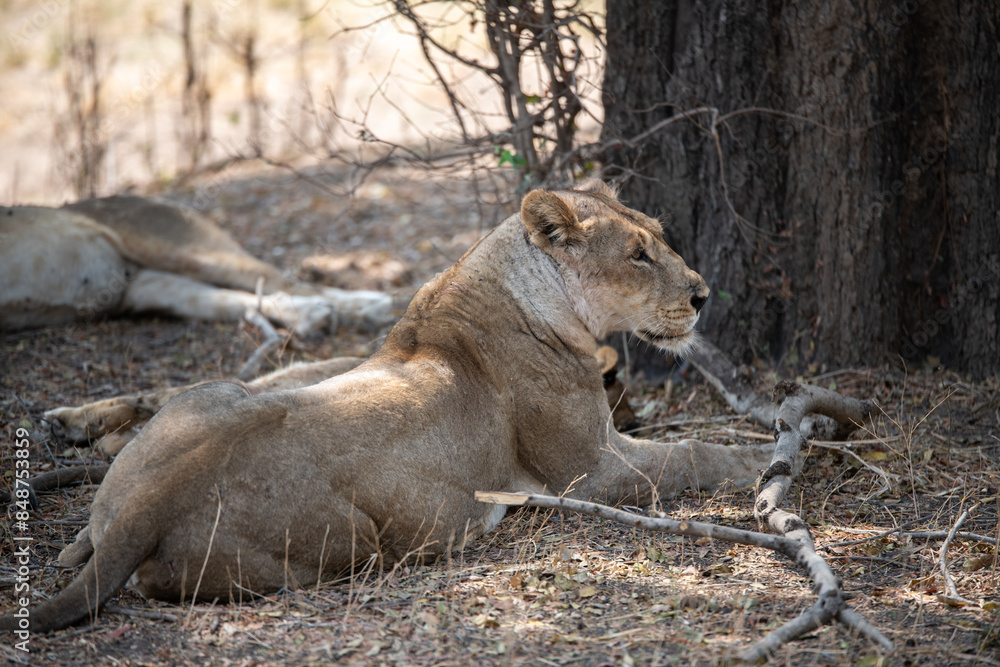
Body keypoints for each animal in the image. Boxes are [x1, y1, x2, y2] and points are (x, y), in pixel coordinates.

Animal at [0, 196, 400, 336]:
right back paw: (318, 315)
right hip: (147, 288)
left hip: (183, 249)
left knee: (285, 281)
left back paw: (372, 307)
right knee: (239, 300)